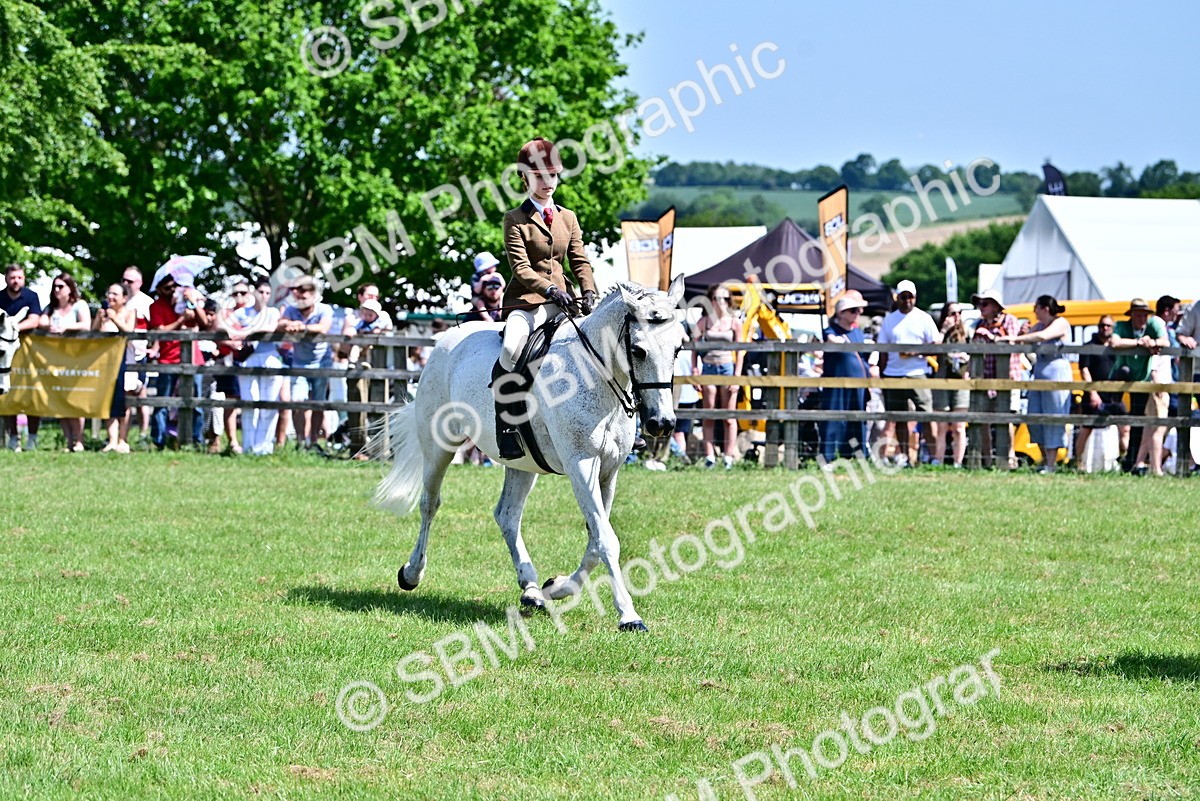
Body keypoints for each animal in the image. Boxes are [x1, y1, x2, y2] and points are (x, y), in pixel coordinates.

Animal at [374, 276, 688, 631]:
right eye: (638, 350)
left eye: (678, 348)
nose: (662, 424)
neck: (594, 376)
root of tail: (445, 340)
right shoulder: (581, 465)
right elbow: (606, 539)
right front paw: (628, 615)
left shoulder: (608, 471)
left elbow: (596, 539)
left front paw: (558, 587)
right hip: (439, 446)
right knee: (430, 504)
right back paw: (412, 573)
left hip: (522, 464)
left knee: (507, 515)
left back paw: (533, 589)